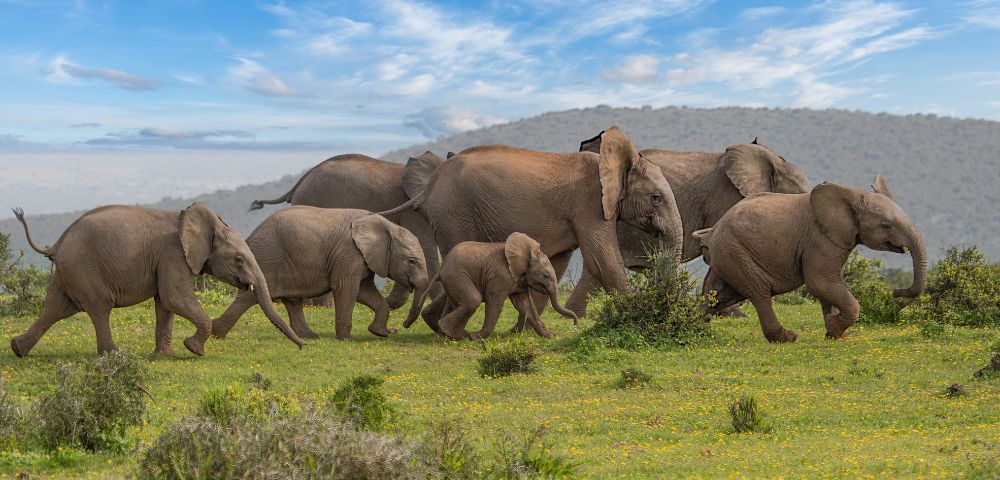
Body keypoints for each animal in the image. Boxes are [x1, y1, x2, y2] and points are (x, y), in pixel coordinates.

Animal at [9, 203, 303, 357]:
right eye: (239, 259)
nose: (303, 346)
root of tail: (57, 244)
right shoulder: (173, 255)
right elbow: (174, 297)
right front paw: (194, 350)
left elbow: (165, 303)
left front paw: (167, 356)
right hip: (84, 269)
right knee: (99, 308)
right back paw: (115, 355)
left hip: (67, 272)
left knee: (55, 309)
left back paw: (18, 349)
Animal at [211, 207, 430, 341]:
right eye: (412, 261)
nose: (402, 326)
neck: (386, 225)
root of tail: (251, 236)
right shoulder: (350, 253)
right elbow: (346, 289)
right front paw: (348, 340)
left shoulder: (363, 258)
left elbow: (364, 291)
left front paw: (379, 333)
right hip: (266, 259)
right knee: (248, 298)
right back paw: (215, 333)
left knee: (293, 301)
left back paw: (310, 336)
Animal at [406, 232, 578, 340]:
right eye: (545, 276)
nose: (575, 323)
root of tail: (441, 269)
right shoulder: (499, 277)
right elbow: (495, 304)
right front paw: (476, 337)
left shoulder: (519, 280)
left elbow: (525, 305)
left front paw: (550, 336)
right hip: (457, 275)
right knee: (472, 300)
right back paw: (460, 335)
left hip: (453, 280)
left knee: (458, 303)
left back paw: (452, 335)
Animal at [693, 175, 926, 343]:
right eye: (886, 225)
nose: (895, 291)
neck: (852, 195)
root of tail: (713, 231)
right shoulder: (819, 240)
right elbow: (820, 283)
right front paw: (834, 327)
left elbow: (828, 287)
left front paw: (835, 334)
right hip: (735, 251)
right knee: (759, 292)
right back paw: (787, 338)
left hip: (727, 254)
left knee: (718, 295)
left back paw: (696, 325)